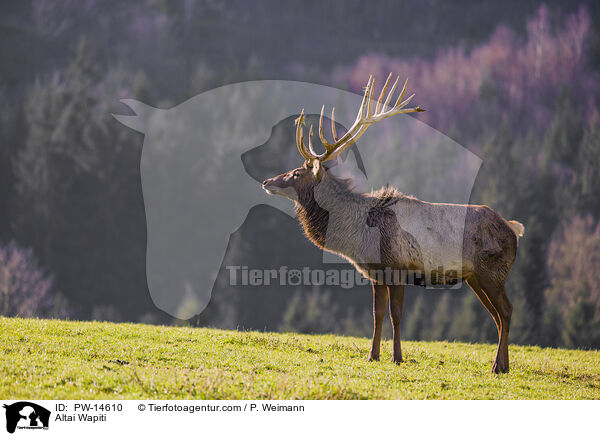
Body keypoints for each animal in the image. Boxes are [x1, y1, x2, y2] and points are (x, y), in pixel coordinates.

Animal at [264, 73, 524, 372]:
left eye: (296, 173)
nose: (267, 181)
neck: (359, 233)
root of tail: (514, 229)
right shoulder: (376, 273)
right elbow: (377, 315)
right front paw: (372, 355)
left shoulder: (397, 266)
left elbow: (396, 316)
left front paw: (397, 357)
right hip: (475, 277)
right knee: (498, 315)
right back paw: (503, 365)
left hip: (493, 272)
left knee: (506, 310)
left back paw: (497, 366)